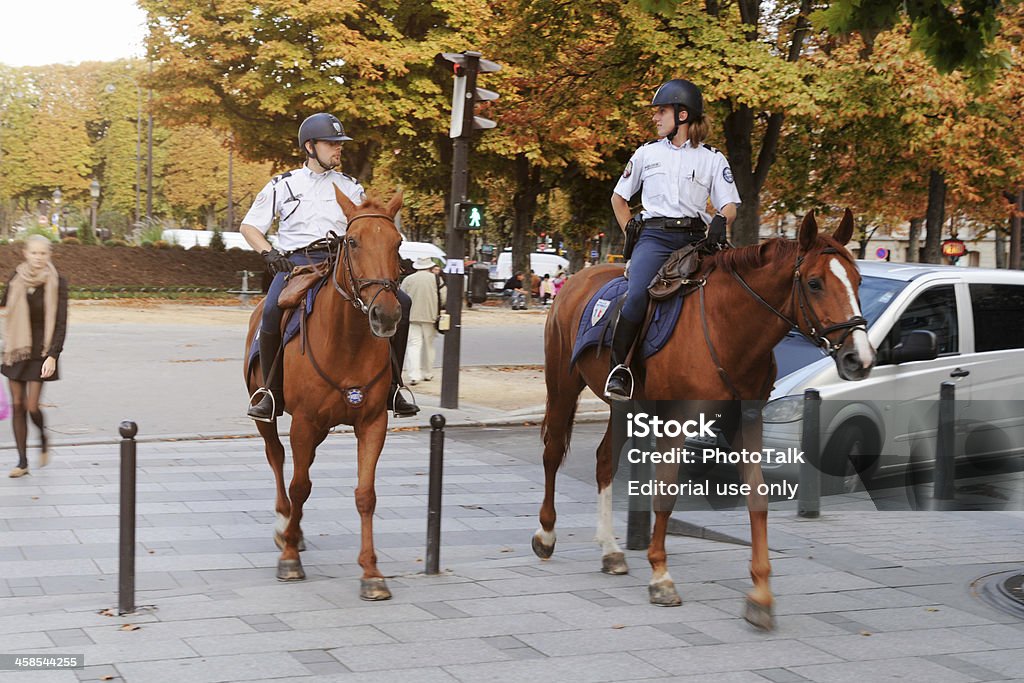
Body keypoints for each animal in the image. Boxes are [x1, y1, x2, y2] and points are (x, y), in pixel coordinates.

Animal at [246, 189, 403, 602]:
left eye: (398, 243)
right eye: (353, 241)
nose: (386, 315)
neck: (347, 342)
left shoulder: (372, 422)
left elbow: (366, 495)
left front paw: (371, 573)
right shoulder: (303, 422)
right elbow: (299, 485)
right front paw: (288, 558)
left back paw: (295, 529)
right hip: (271, 416)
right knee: (278, 459)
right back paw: (284, 525)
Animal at [532, 210, 876, 626]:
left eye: (858, 280)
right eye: (815, 282)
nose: (859, 359)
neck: (727, 328)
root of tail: (576, 278)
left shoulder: (745, 422)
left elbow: (757, 495)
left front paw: (761, 594)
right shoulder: (675, 422)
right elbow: (665, 492)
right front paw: (661, 575)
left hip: (624, 407)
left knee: (604, 462)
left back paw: (611, 549)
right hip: (563, 383)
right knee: (553, 452)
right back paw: (546, 534)